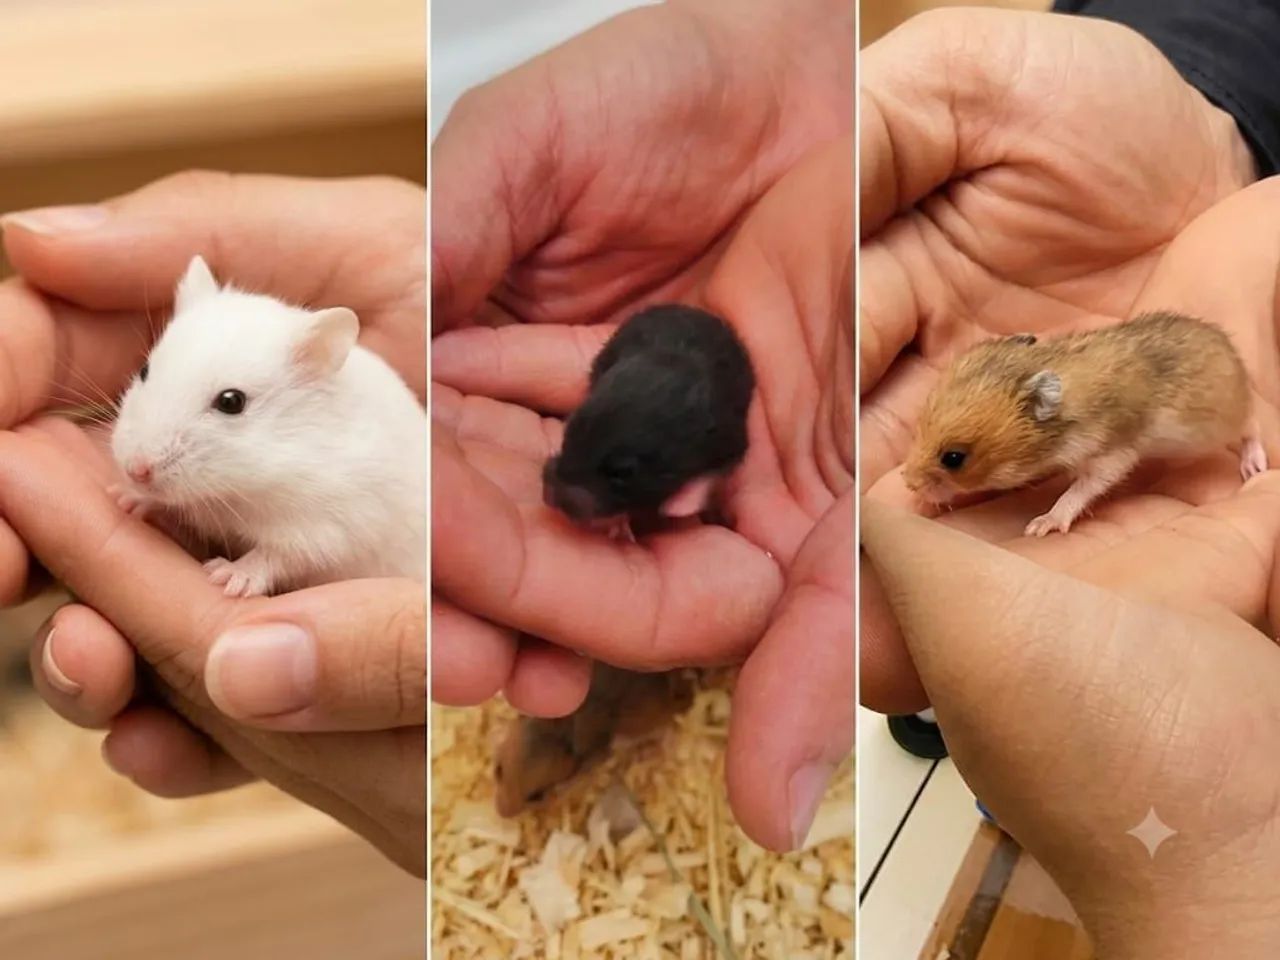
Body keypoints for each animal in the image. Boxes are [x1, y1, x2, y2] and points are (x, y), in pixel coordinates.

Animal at [111, 255, 426, 596]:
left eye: (231, 401)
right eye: (144, 370)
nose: (136, 471)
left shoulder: (322, 530)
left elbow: (273, 556)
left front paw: (227, 578)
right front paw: (123, 498)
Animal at [542, 305, 755, 537]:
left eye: (623, 472)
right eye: (567, 434)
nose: (549, 497)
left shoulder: (731, 437)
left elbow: (713, 475)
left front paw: (678, 504)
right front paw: (618, 523)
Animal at [902, 311, 1267, 537]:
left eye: (954, 458)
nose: (908, 484)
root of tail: (1232, 352)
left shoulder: (1110, 456)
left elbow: (1079, 491)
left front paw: (1039, 526)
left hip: (1226, 421)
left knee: (1253, 426)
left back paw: (1254, 467)